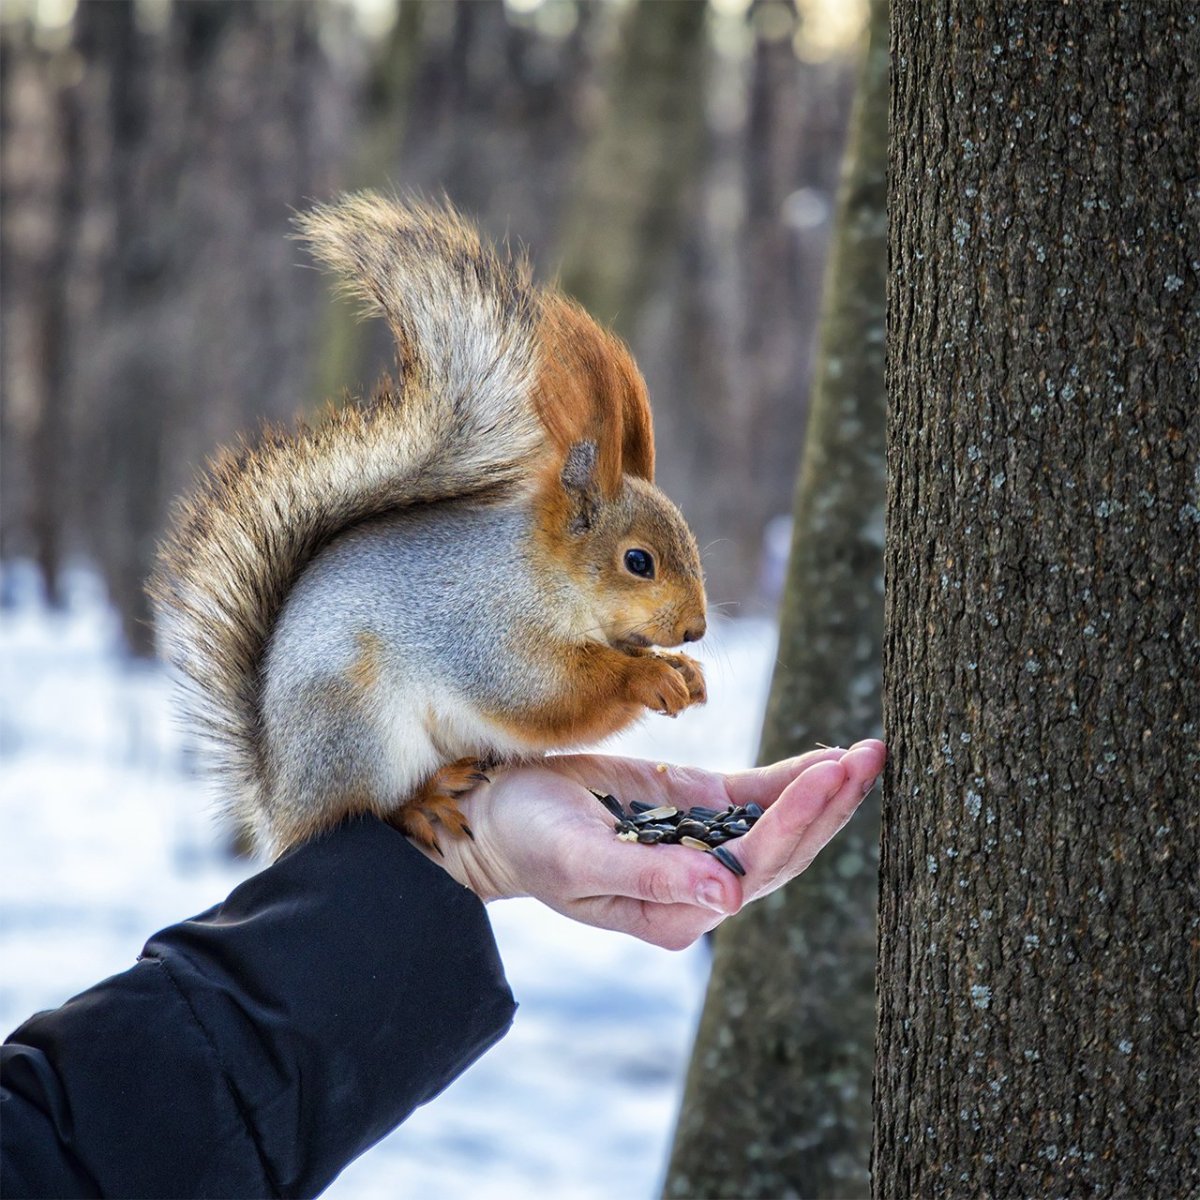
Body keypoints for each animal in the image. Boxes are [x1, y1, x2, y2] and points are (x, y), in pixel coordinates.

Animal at [151, 193, 708, 857]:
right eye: (638, 561)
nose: (697, 630)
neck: (542, 575)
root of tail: (282, 807)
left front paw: (686, 673)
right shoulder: (487, 633)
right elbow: (547, 695)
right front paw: (649, 676)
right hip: (359, 729)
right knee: (365, 807)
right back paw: (425, 801)